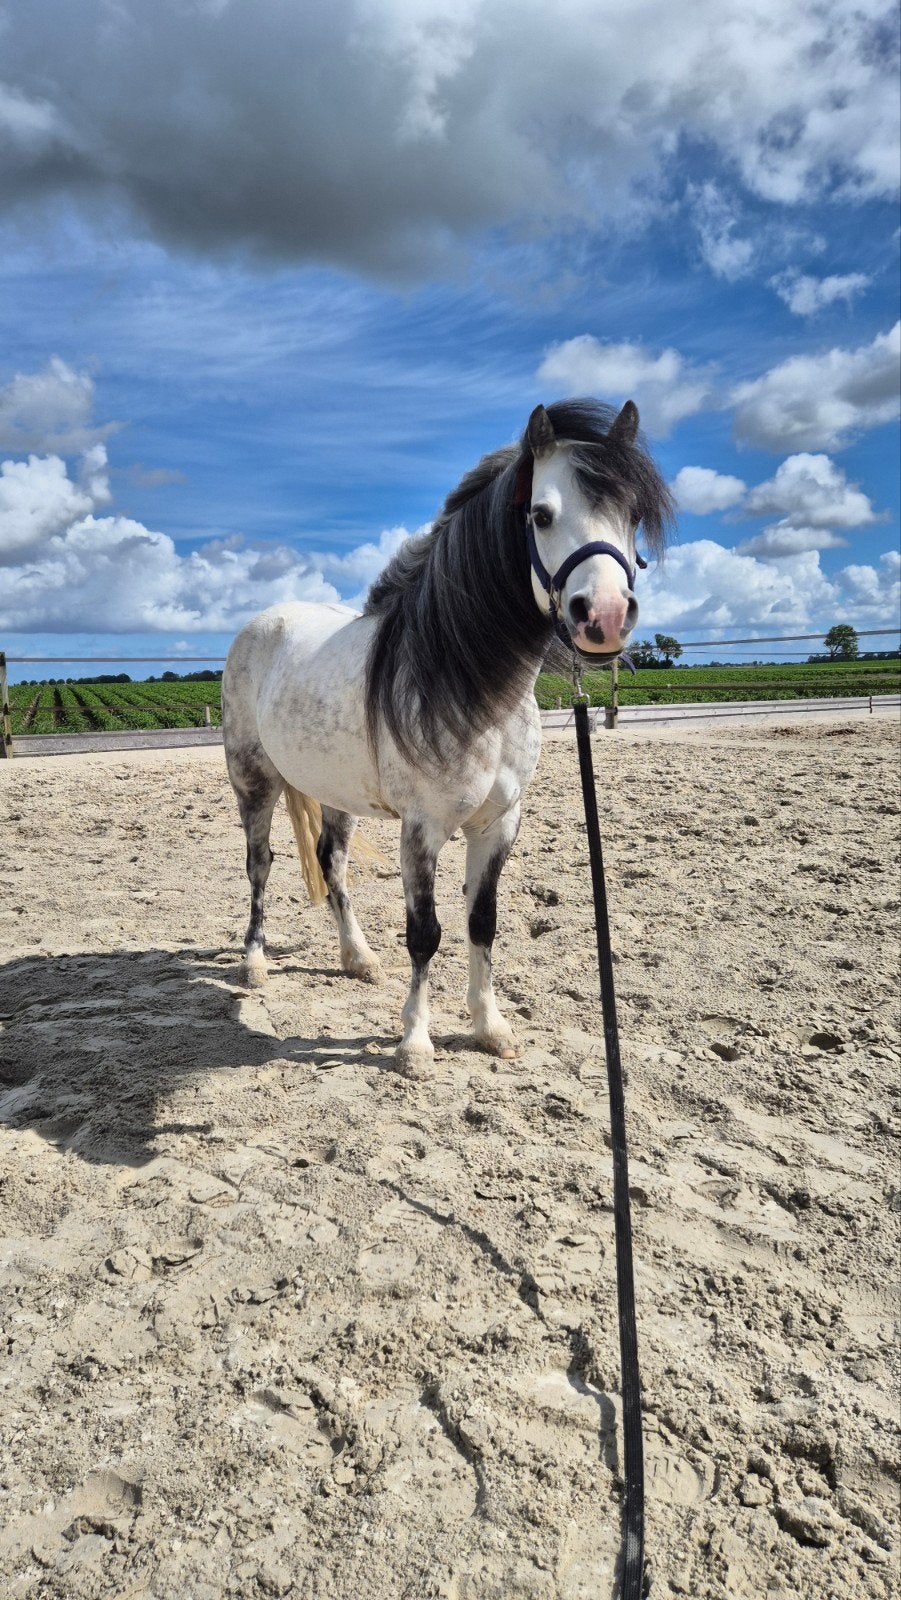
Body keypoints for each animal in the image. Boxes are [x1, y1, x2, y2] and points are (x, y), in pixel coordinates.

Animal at [222, 398, 673, 1078]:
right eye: (541, 514)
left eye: (634, 516)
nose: (605, 617)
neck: (467, 686)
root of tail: (261, 624)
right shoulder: (423, 829)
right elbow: (426, 933)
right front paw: (414, 1043)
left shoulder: (498, 823)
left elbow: (481, 921)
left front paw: (491, 1029)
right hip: (255, 782)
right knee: (260, 865)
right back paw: (254, 963)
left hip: (335, 792)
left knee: (331, 863)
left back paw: (358, 959)